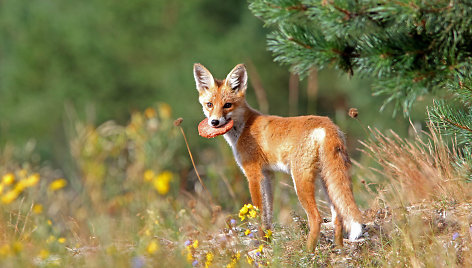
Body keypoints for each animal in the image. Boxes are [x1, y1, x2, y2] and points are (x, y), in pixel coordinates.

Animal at [194, 63, 364, 251]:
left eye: (227, 105)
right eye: (210, 104)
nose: (214, 122)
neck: (244, 127)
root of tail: (328, 125)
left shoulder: (253, 174)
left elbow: (259, 214)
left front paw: (260, 246)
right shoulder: (268, 175)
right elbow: (268, 215)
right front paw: (266, 243)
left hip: (301, 181)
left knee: (316, 218)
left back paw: (308, 251)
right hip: (326, 182)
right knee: (338, 217)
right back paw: (339, 248)